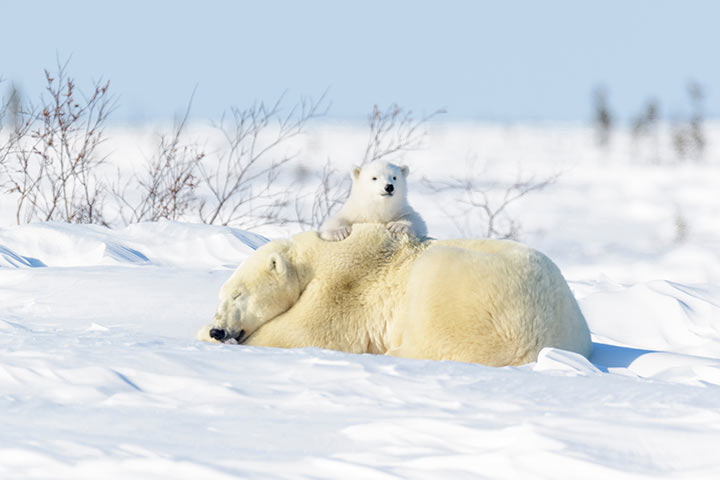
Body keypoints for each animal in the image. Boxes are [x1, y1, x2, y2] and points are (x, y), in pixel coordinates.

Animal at [197, 223, 592, 366]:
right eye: (222, 295)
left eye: (237, 295)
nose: (218, 328)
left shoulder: (347, 281)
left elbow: (306, 330)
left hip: (473, 296)